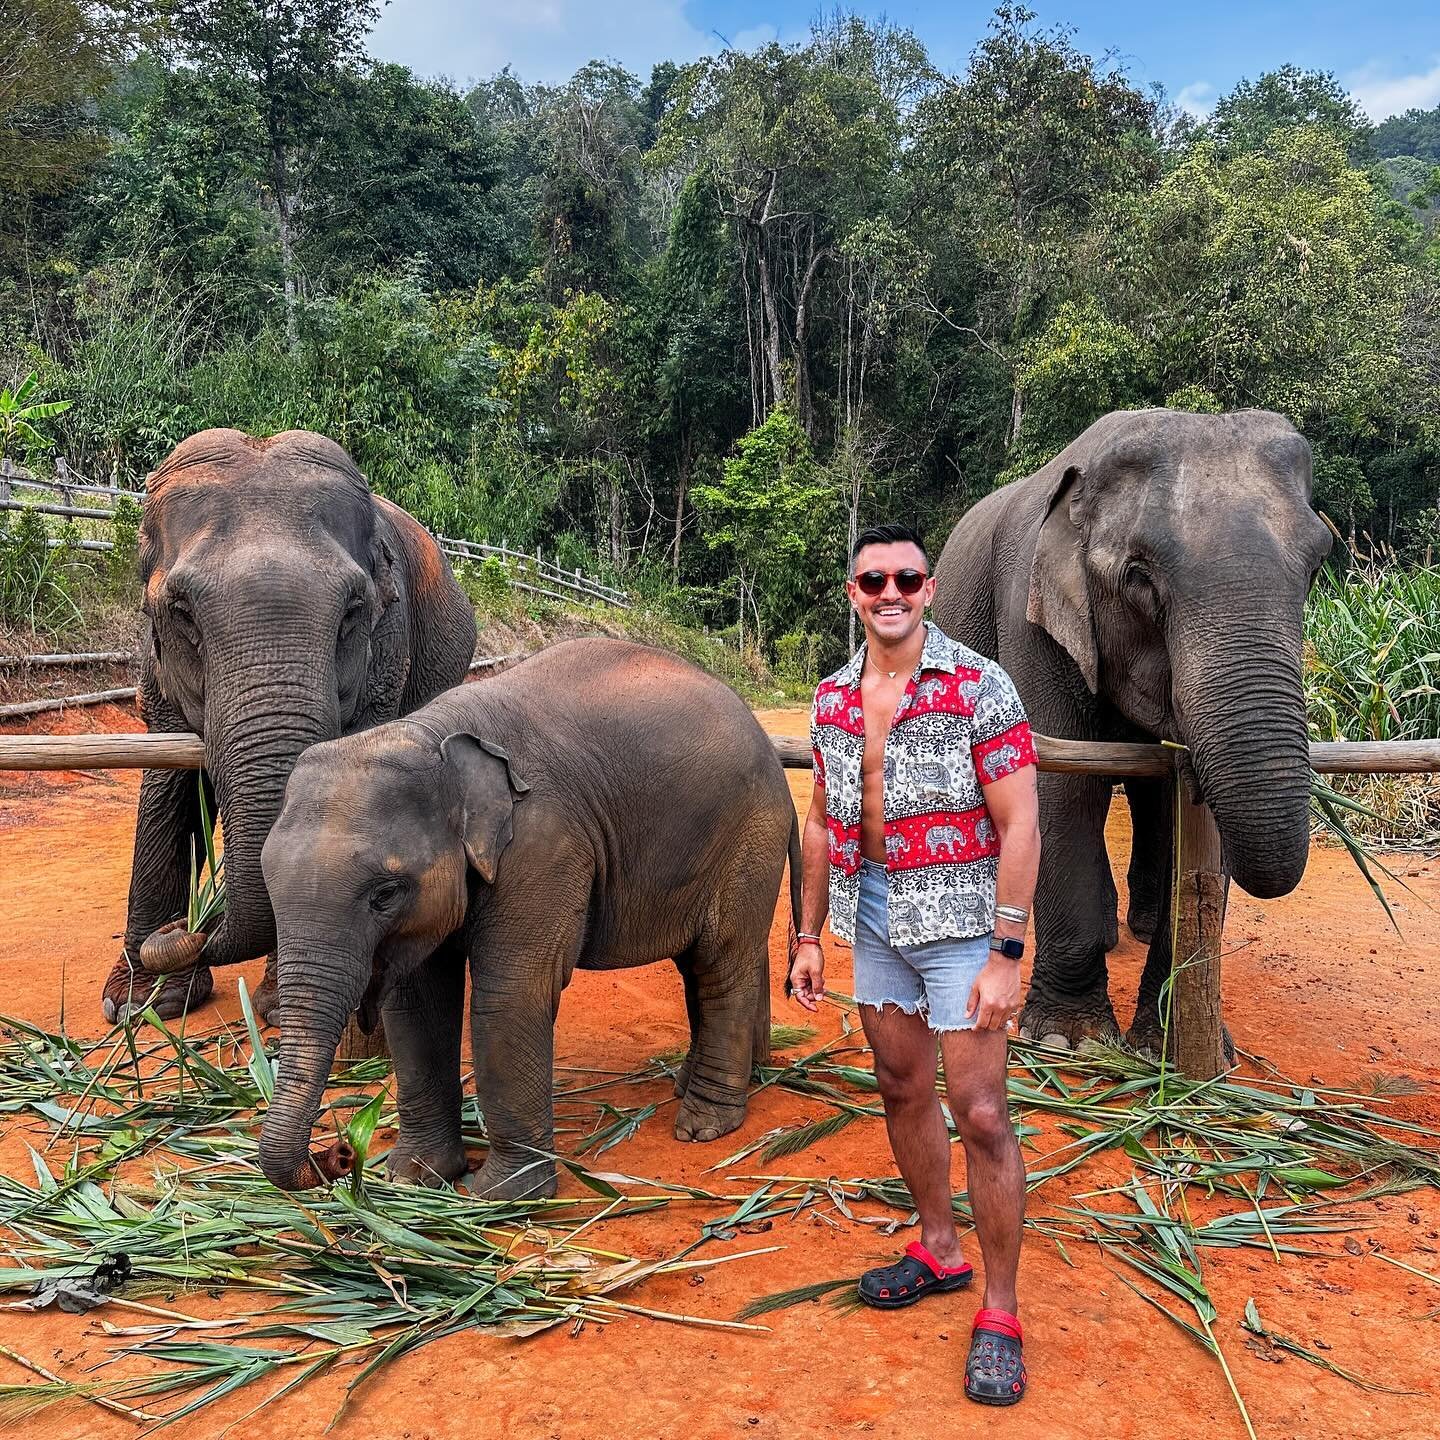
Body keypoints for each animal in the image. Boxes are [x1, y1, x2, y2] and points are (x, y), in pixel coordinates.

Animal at [108, 426, 478, 1025]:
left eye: (353, 611)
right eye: (181, 611)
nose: (188, 929)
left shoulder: (387, 648)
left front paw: (278, 1013)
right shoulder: (155, 666)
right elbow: (170, 785)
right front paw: (137, 1006)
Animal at [933, 411, 1324, 1054]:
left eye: (1317, 566)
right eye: (1139, 578)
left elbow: (1183, 808)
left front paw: (1170, 1046)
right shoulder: (1030, 614)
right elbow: (1061, 788)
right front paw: (1070, 1040)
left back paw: (1134, 929)